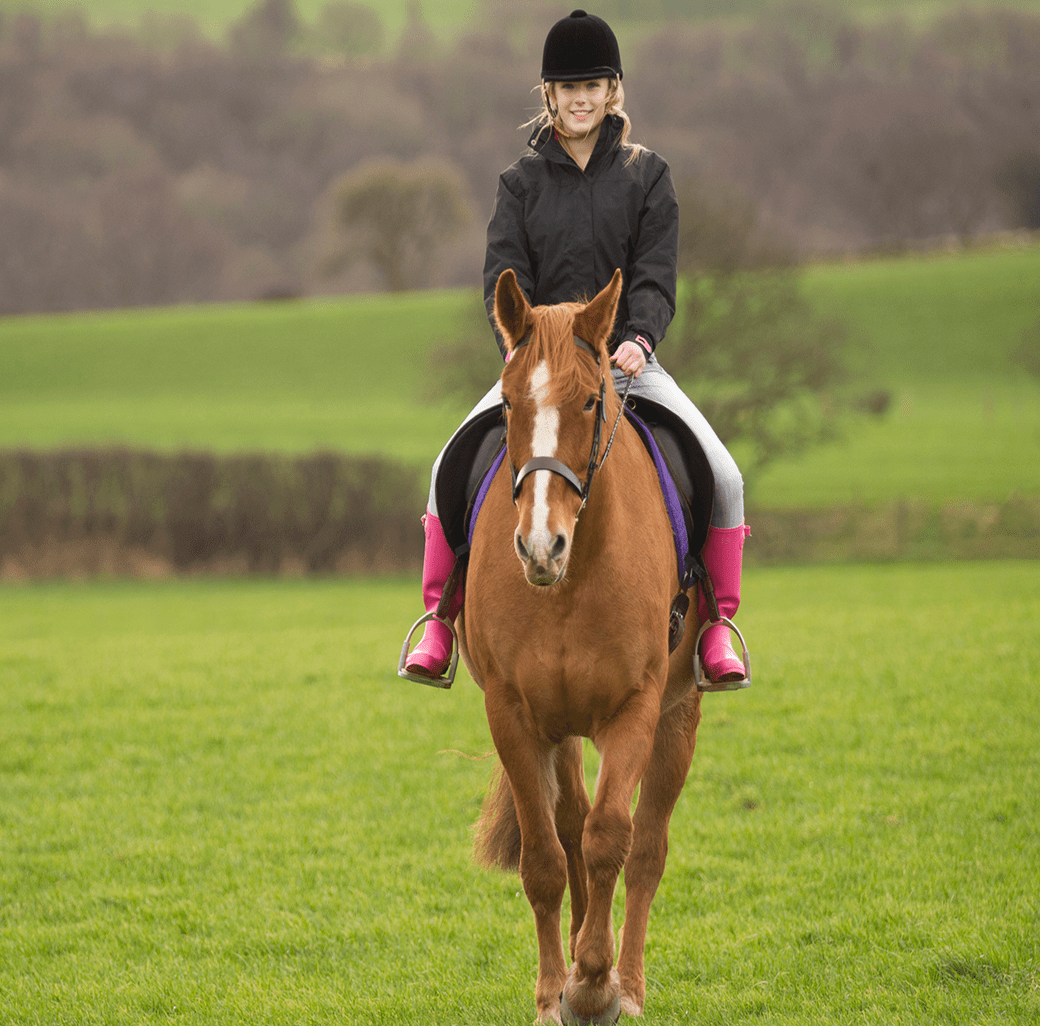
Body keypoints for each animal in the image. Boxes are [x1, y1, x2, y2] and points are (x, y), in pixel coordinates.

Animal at [457, 268, 704, 1024]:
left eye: (592, 400)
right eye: (509, 401)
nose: (542, 546)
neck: (568, 585)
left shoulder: (636, 708)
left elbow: (611, 839)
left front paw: (597, 986)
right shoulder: (513, 713)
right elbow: (545, 857)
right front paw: (553, 993)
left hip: (679, 716)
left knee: (646, 847)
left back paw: (630, 984)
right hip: (559, 728)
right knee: (567, 829)